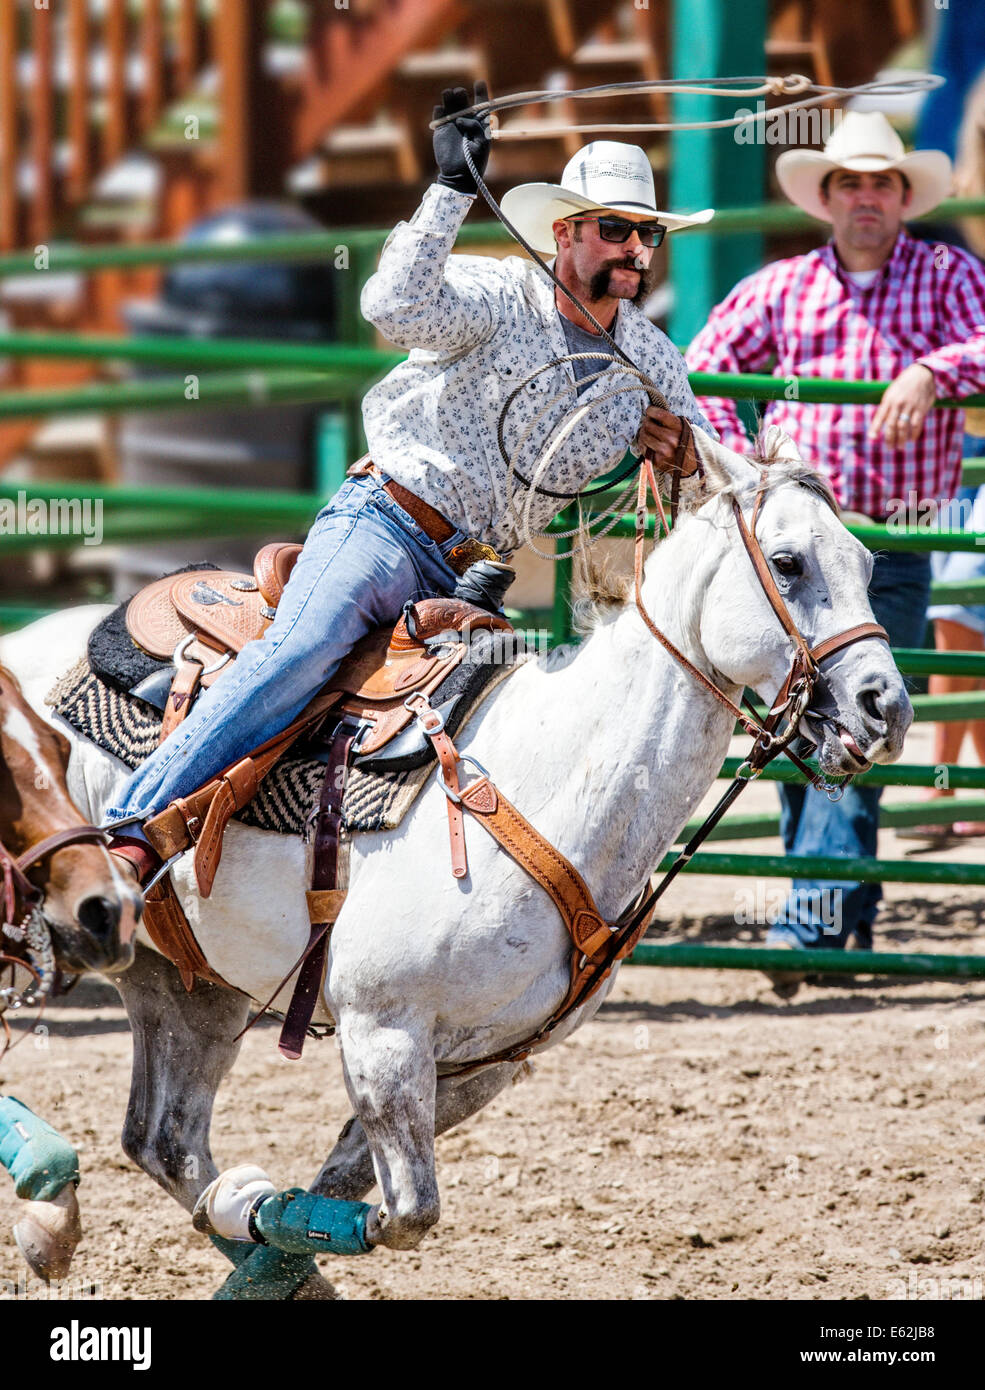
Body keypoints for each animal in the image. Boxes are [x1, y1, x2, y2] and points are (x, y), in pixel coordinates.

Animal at [0, 430, 912, 1298]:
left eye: (867, 563)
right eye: (788, 562)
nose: (887, 709)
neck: (546, 776)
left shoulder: (481, 1065)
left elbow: (342, 1201)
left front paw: (267, 1238)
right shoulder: (383, 1031)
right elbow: (401, 1215)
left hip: (189, 984)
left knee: (165, 1139)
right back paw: (50, 1207)